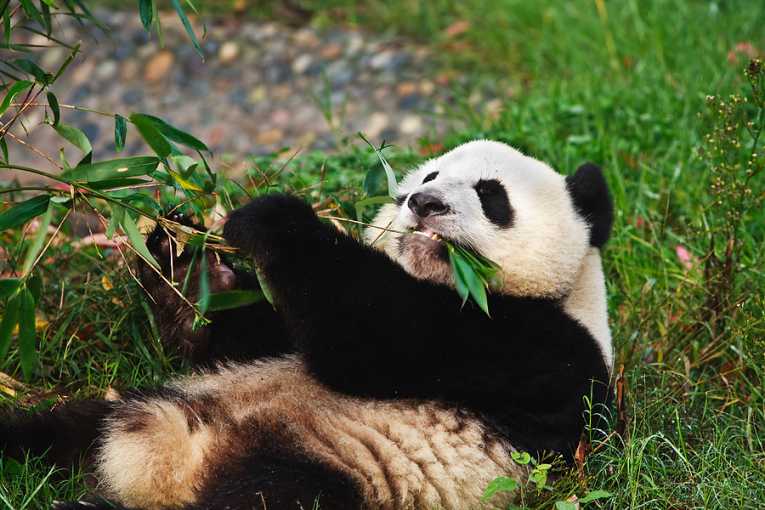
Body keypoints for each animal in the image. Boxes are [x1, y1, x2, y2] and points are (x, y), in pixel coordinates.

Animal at [0, 140, 614, 510]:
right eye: (430, 174)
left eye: (491, 195)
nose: (423, 202)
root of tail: (171, 460)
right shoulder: (269, 347)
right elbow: (244, 338)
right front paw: (182, 254)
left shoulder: (538, 349)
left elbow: (376, 340)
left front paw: (277, 215)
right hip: (141, 407)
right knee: (54, 433)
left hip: (334, 475)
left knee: (265, 497)